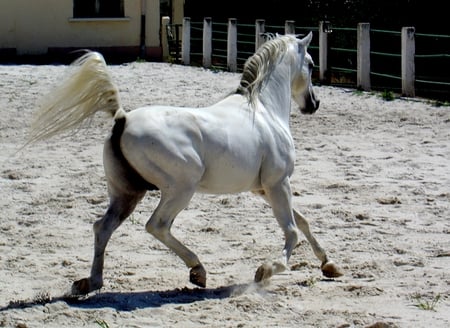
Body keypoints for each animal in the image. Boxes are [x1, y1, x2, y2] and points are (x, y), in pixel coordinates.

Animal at [28, 32, 342, 296]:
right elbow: (292, 231)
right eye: (311, 64)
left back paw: (90, 282)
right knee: (157, 225)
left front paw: (329, 265)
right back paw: (197, 271)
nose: (313, 103)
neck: (264, 111)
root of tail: (122, 118)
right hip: (180, 189)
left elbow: (303, 222)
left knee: (102, 228)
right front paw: (266, 270)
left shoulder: (264, 189)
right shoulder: (278, 184)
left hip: (126, 193)